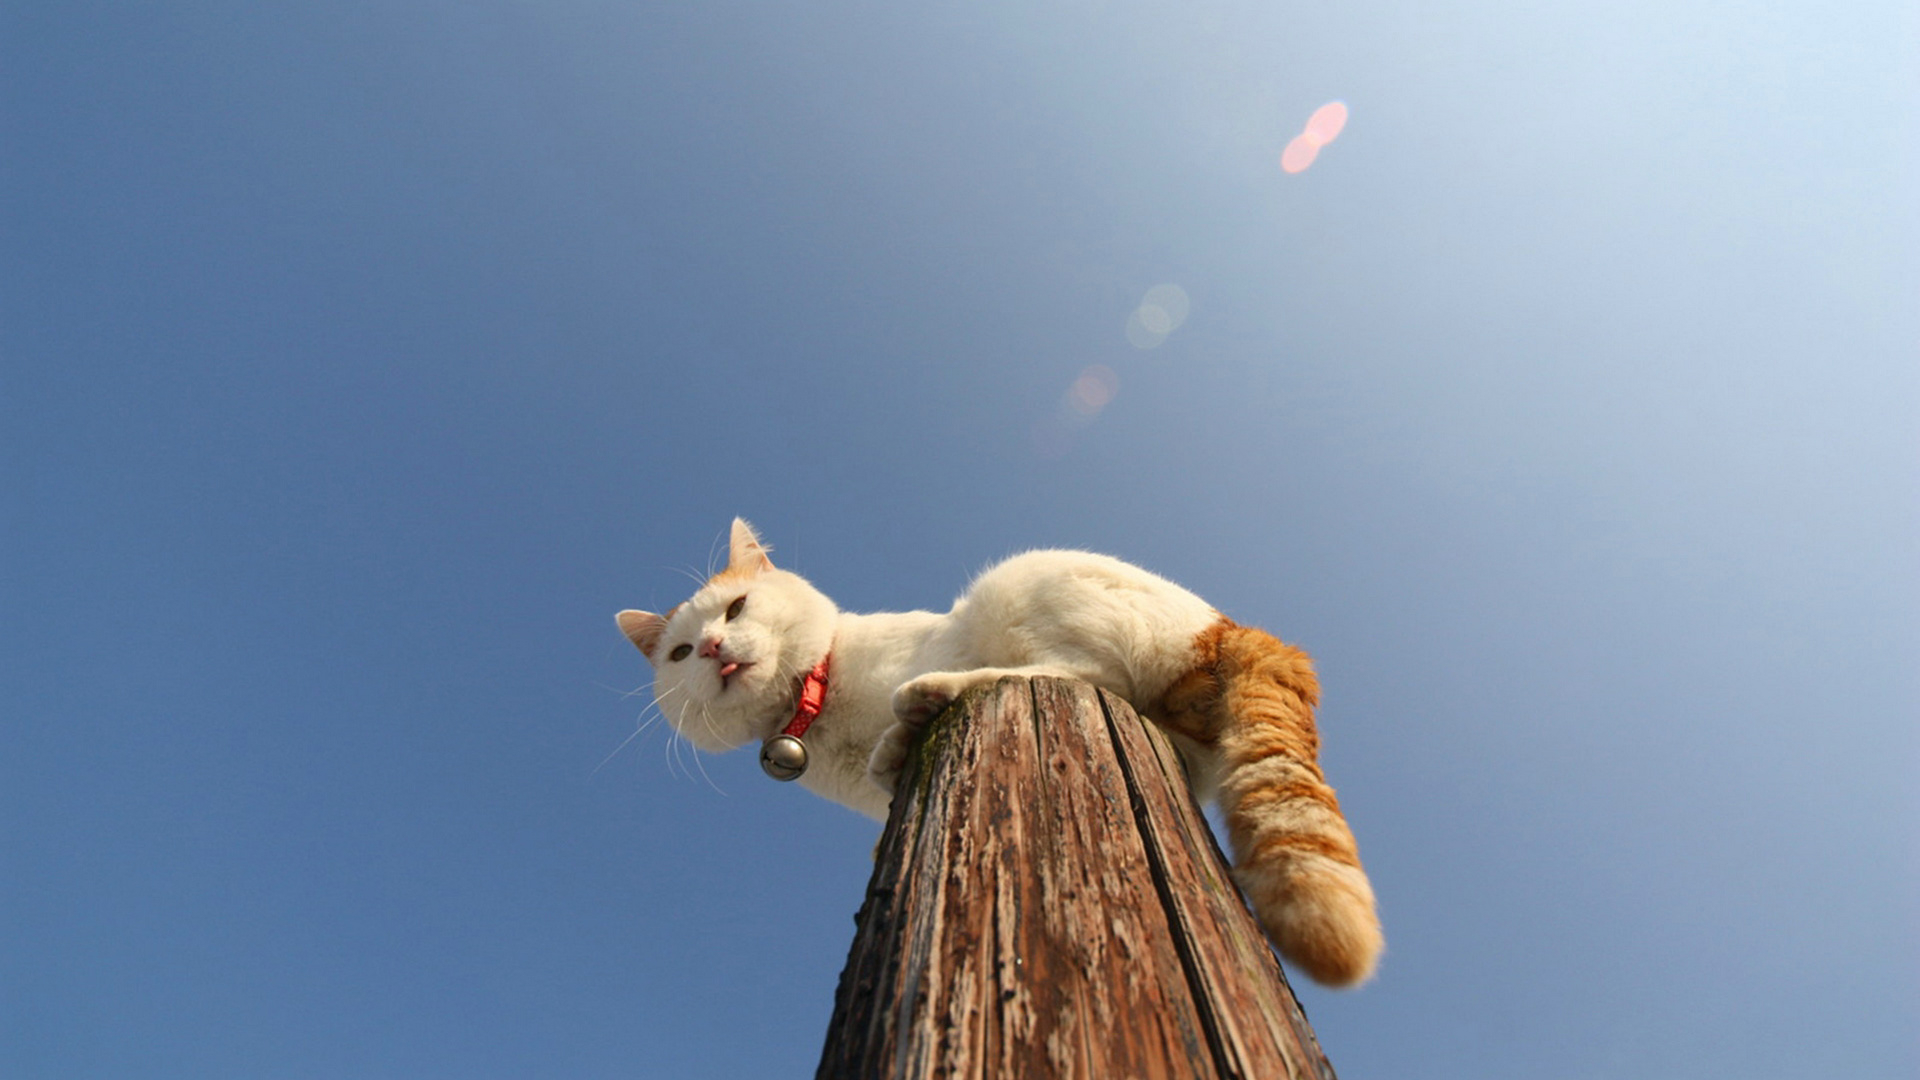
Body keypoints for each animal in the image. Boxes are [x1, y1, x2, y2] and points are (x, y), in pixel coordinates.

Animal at [615, 519, 1383, 987]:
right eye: (679, 653)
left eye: (737, 608)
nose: (713, 648)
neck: (818, 707)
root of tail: (1229, 627)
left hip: (1019, 589)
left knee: (1070, 677)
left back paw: (929, 702)